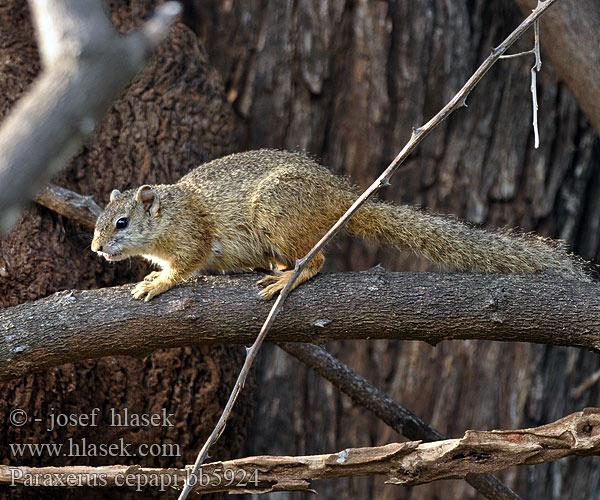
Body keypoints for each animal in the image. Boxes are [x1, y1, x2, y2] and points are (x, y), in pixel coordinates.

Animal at [91, 148, 588, 300]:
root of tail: (339, 198)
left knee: (317, 261)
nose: (96, 249)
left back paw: (289, 278)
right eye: (98, 222)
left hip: (279, 214)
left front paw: (158, 283)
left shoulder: (194, 233)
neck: (171, 211)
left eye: (122, 223)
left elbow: (187, 264)